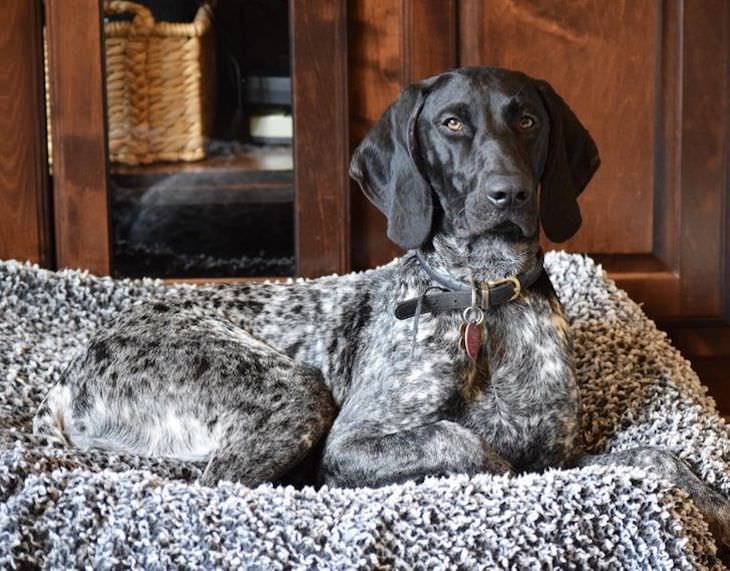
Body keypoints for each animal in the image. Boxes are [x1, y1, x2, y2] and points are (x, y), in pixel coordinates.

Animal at [34, 67, 728, 548]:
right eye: (452, 123)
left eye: (527, 120)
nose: (509, 194)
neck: (481, 298)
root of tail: (69, 375)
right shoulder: (354, 441)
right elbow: (469, 445)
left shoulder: (560, 455)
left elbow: (657, 457)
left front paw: (715, 506)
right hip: (296, 390)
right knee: (218, 488)